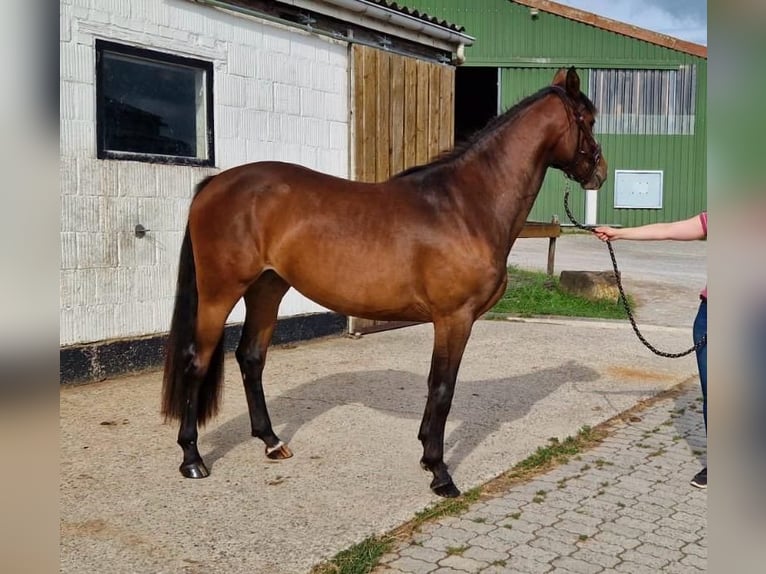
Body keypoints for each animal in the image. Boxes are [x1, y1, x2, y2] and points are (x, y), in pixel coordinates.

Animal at [165, 68, 608, 500]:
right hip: (220, 292)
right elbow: (442, 388)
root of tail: (215, 185)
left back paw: (272, 442)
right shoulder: (454, 318)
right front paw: (440, 473)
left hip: (268, 288)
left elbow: (437, 387)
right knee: (197, 361)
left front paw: (428, 457)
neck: (466, 206)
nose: (600, 174)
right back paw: (192, 459)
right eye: (587, 120)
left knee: (251, 358)